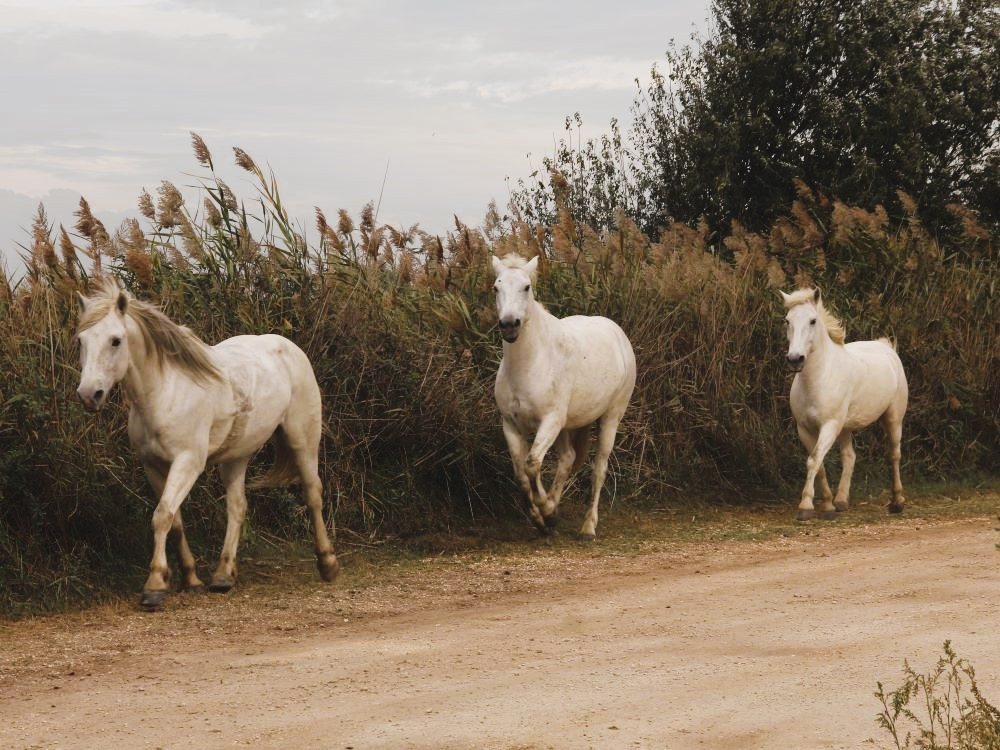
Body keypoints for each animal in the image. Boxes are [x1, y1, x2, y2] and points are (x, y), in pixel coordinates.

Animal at [75, 282, 340, 612]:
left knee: (313, 494)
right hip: (237, 456)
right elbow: (174, 521)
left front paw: (154, 586)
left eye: (115, 340)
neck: (164, 392)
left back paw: (327, 563)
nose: (89, 395)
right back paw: (223, 575)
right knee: (237, 507)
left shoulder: (188, 462)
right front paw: (190, 579)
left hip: (302, 439)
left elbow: (162, 515)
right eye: (81, 340)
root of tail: (288, 347)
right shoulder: (153, 466)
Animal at [490, 258, 632, 540]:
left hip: (611, 416)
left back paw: (588, 527)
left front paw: (544, 509)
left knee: (599, 468)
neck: (531, 362)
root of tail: (618, 334)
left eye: (526, 286)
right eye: (496, 288)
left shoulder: (550, 421)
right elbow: (521, 475)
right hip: (569, 425)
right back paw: (555, 508)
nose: (510, 325)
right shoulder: (511, 425)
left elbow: (532, 464)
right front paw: (542, 518)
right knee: (567, 458)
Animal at [784, 290, 912, 524]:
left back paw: (897, 502)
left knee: (894, 455)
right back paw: (841, 501)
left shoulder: (829, 426)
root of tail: (886, 347)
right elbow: (819, 464)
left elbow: (813, 460)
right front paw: (827, 506)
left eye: (813, 321)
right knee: (850, 457)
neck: (819, 378)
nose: (795, 359)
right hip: (845, 428)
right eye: (787, 321)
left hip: (893, 419)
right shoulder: (805, 429)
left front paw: (805, 506)